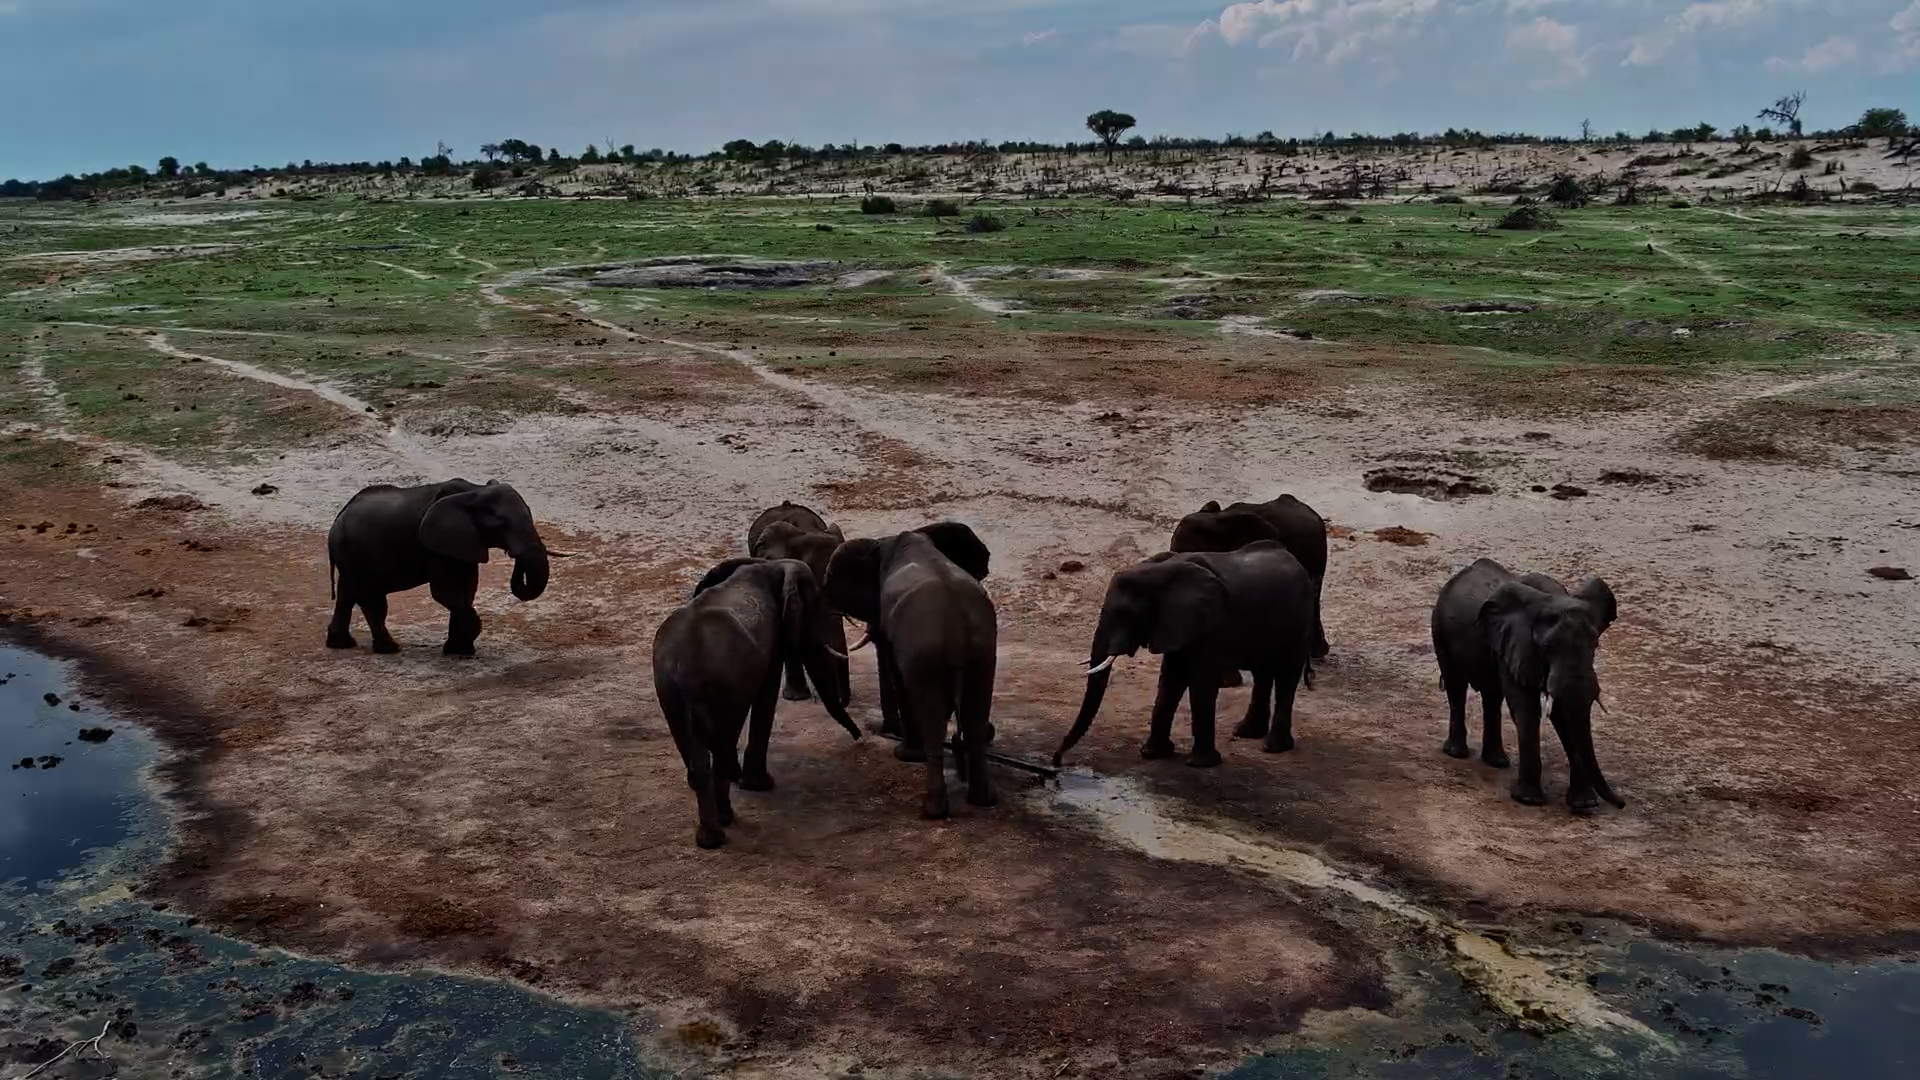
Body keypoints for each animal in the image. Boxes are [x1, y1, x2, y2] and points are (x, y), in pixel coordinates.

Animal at [326, 479, 554, 656]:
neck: (475, 491)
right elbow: (446, 592)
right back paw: (389, 649)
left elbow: (467, 588)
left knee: (348, 594)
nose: (514, 555)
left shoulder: (464, 542)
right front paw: (463, 644)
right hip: (355, 555)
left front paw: (459, 650)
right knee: (371, 600)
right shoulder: (435, 545)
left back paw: (342, 644)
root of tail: (337, 519)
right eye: (500, 524)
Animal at [652, 557, 861, 849]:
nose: (858, 738)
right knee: (723, 742)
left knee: (696, 755)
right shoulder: (775, 634)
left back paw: (709, 836)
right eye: (818, 609)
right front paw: (759, 785)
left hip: (669, 694)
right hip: (722, 690)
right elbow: (767, 692)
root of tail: (683, 669)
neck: (771, 565)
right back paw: (724, 822)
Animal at [823, 522, 996, 820]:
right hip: (983, 651)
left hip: (925, 653)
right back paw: (981, 800)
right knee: (975, 717)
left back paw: (932, 810)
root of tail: (957, 625)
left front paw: (904, 754)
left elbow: (897, 679)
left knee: (931, 716)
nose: (881, 729)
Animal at [1054, 540, 1316, 769]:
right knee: (1263, 673)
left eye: (1125, 613)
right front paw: (1153, 754)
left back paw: (1273, 747)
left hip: (1299, 622)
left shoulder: (1213, 626)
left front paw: (1201, 764)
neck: (1158, 573)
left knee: (1286, 677)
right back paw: (1245, 733)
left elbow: (1201, 682)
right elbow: (1171, 679)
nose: (1057, 762)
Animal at [1430, 558, 1623, 812]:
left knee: (1492, 695)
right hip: (1439, 628)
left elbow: (1562, 713)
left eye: (1595, 645)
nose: (1622, 804)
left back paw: (1497, 762)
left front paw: (1584, 805)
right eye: (1547, 647)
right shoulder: (1516, 643)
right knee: (1456, 686)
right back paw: (1457, 754)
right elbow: (1527, 709)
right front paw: (1529, 801)